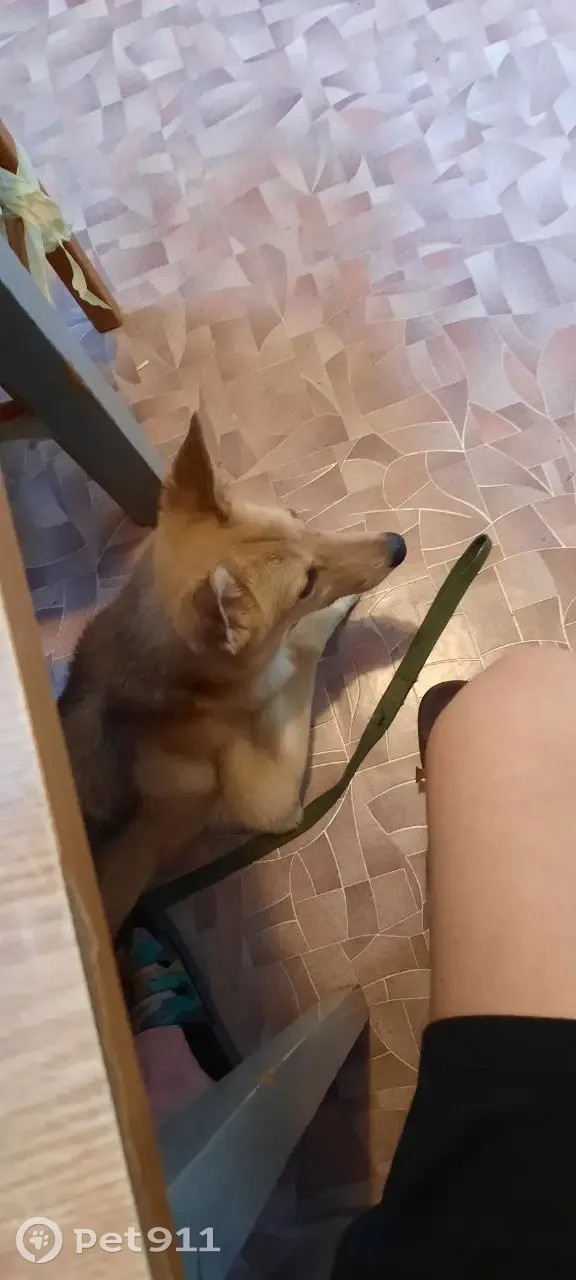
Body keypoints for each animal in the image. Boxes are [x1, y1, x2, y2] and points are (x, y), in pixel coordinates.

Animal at [59, 414, 406, 935]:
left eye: (298, 518)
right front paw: (332, 613)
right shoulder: (272, 798)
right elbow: (301, 648)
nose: (398, 546)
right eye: (306, 585)